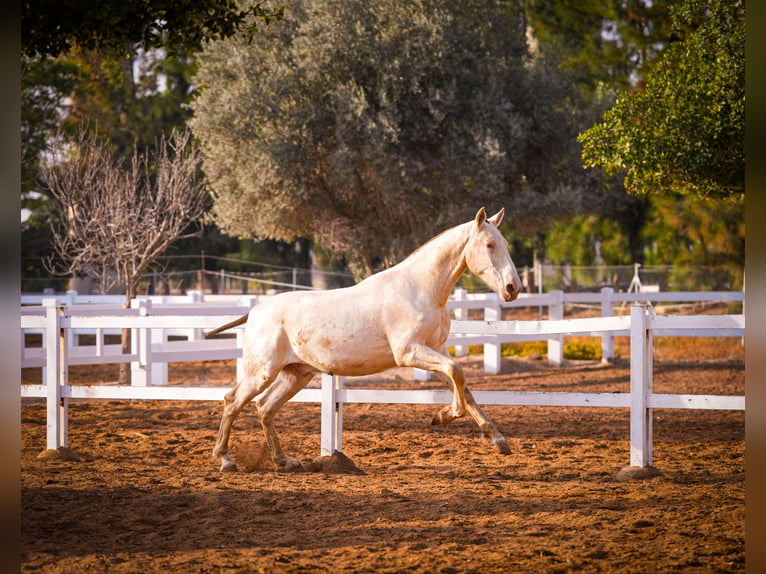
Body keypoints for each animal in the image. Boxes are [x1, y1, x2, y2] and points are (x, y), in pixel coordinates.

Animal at [207, 207, 524, 472]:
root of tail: (254, 311)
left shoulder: (435, 351)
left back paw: (284, 461)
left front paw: (497, 440)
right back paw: (225, 460)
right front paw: (444, 415)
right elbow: (458, 375)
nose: (513, 288)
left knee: (265, 408)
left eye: (505, 244)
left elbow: (463, 385)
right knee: (233, 401)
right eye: (489, 245)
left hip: (296, 375)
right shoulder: (409, 353)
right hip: (261, 373)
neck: (419, 289)